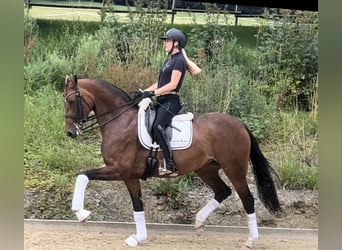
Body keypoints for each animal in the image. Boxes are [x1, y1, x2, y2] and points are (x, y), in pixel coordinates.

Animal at [63, 73, 280, 248]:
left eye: (72, 100)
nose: (70, 132)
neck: (120, 121)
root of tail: (239, 124)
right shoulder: (129, 176)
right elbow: (137, 205)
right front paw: (138, 238)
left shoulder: (118, 170)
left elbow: (83, 175)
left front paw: (81, 213)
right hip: (206, 169)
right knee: (222, 191)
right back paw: (199, 222)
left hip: (234, 169)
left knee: (248, 199)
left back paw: (250, 240)